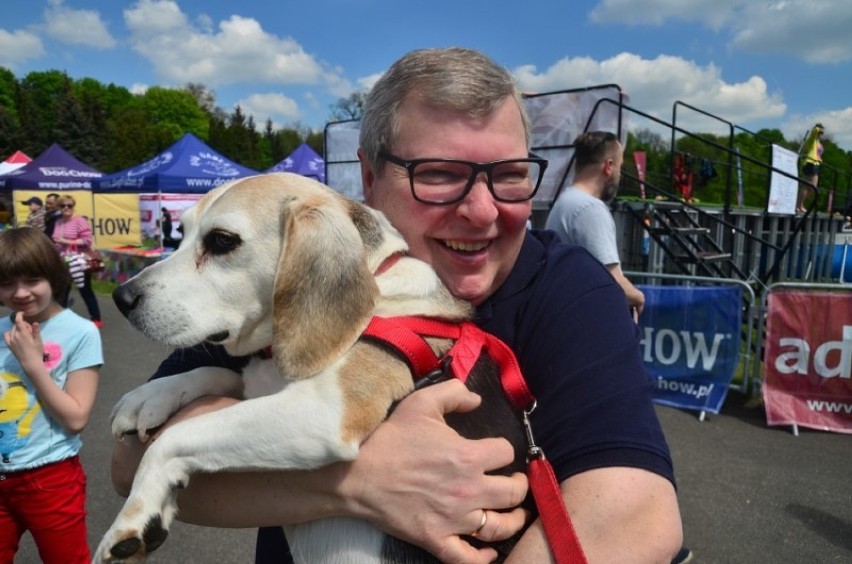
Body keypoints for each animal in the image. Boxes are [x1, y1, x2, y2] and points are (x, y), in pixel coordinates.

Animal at [96, 174, 528, 560]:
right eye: (180, 233)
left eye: (221, 241)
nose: (122, 297)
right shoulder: (262, 383)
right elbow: (215, 373)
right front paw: (149, 398)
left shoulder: (326, 413)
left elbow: (177, 437)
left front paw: (133, 518)